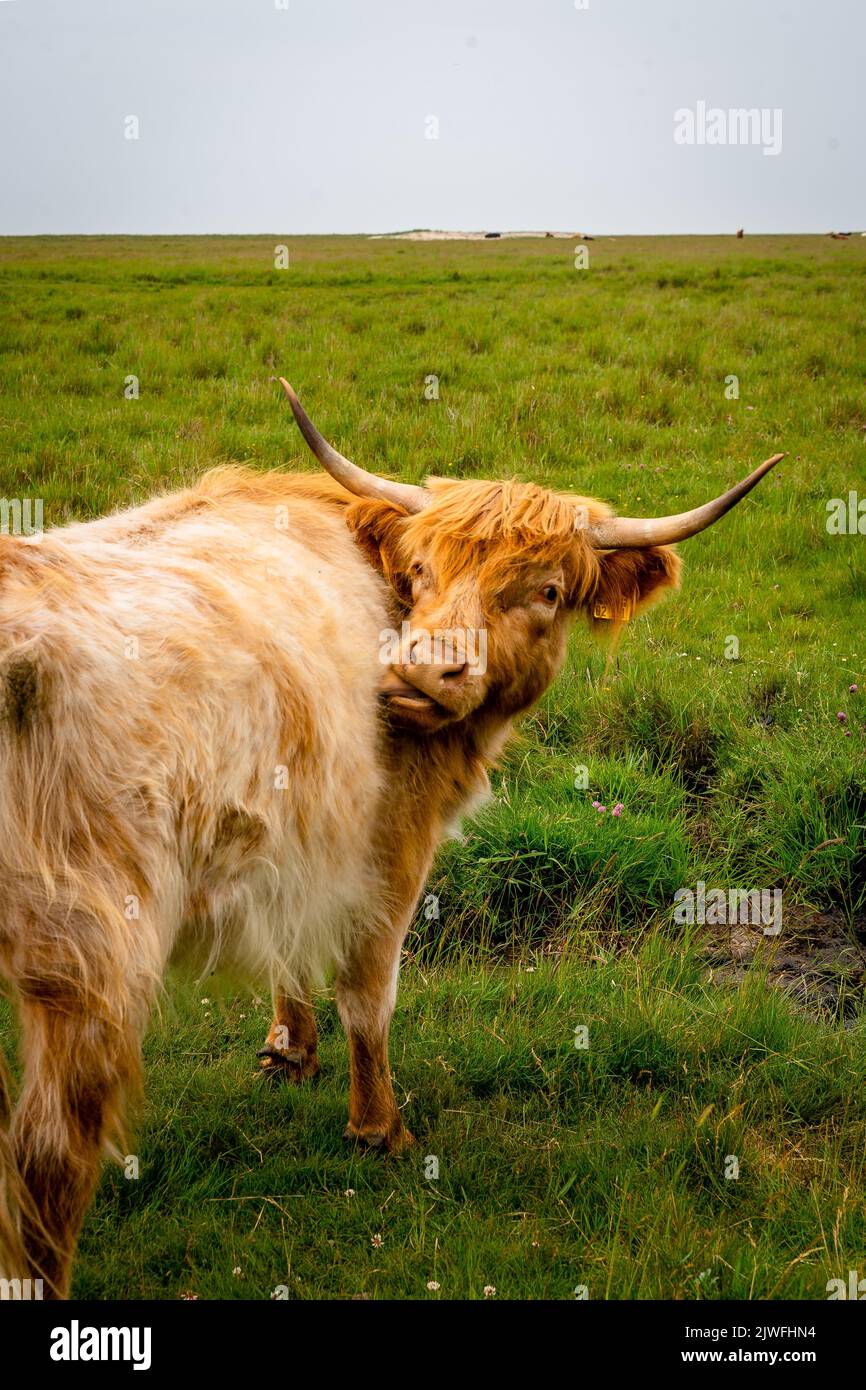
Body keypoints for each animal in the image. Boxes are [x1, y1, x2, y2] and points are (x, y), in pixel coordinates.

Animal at [0, 378, 782, 1296]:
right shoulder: (390, 845)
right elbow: (370, 992)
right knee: (47, 1158)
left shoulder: (297, 835)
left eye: (548, 590)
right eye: (420, 571)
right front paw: (379, 1128)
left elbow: (291, 949)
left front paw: (288, 1050)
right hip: (91, 956)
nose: (423, 670)